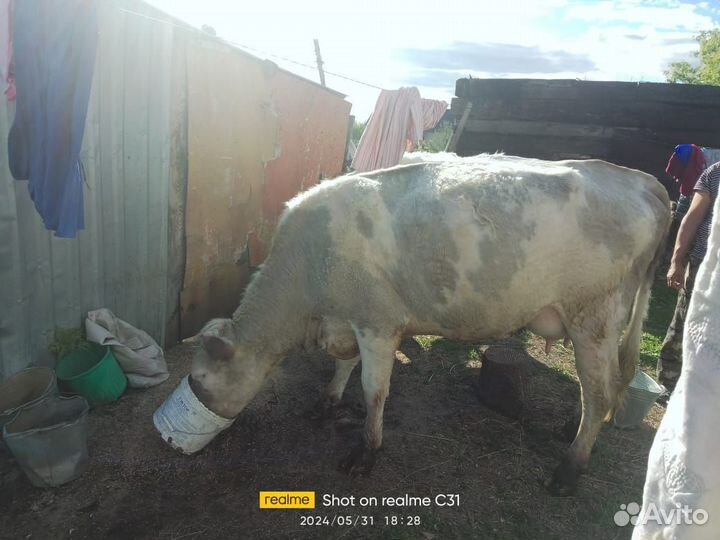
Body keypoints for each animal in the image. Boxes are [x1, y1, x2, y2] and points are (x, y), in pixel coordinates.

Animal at [184, 154, 670, 496]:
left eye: (199, 380)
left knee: (600, 392)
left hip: (595, 316)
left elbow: (373, 389)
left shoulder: (378, 322)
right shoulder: (352, 318)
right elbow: (343, 368)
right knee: (601, 389)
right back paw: (573, 430)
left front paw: (367, 450)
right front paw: (328, 401)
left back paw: (569, 469)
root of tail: (636, 178)